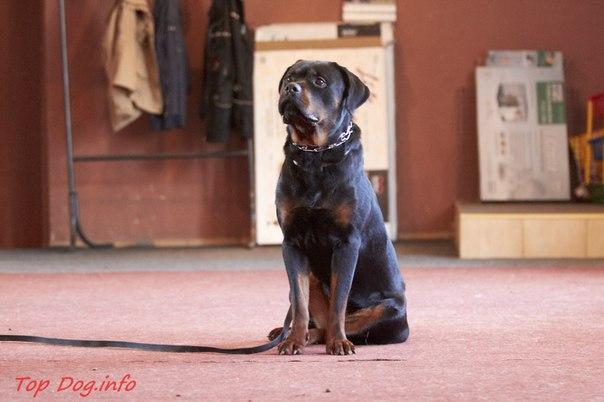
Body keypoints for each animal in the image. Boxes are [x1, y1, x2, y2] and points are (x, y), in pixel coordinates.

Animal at [269, 60, 409, 355]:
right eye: (289, 78)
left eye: (320, 82)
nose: (290, 88)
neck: (313, 156)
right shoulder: (292, 242)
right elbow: (299, 302)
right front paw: (293, 340)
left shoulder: (347, 242)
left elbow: (339, 299)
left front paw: (338, 342)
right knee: (303, 307)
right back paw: (290, 333)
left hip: (390, 311)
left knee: (344, 322)